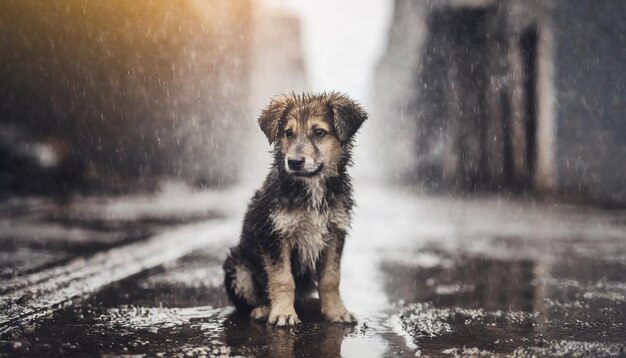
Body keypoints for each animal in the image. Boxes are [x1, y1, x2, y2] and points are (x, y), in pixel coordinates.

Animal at [222, 93, 366, 328]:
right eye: (288, 133)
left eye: (319, 132)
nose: (294, 162)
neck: (312, 186)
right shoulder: (274, 234)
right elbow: (282, 279)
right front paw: (282, 313)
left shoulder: (335, 233)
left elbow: (330, 278)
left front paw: (336, 311)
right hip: (237, 267)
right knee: (246, 303)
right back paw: (263, 309)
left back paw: (313, 304)